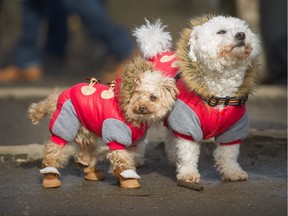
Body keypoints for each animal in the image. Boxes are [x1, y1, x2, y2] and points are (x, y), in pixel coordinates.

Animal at [133, 14, 260, 184]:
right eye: (221, 31)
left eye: (243, 29)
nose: (241, 35)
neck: (220, 95)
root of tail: (158, 52)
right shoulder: (187, 125)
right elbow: (188, 154)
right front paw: (188, 174)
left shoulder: (233, 128)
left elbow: (229, 154)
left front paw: (232, 172)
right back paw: (136, 158)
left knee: (170, 136)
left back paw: (174, 158)